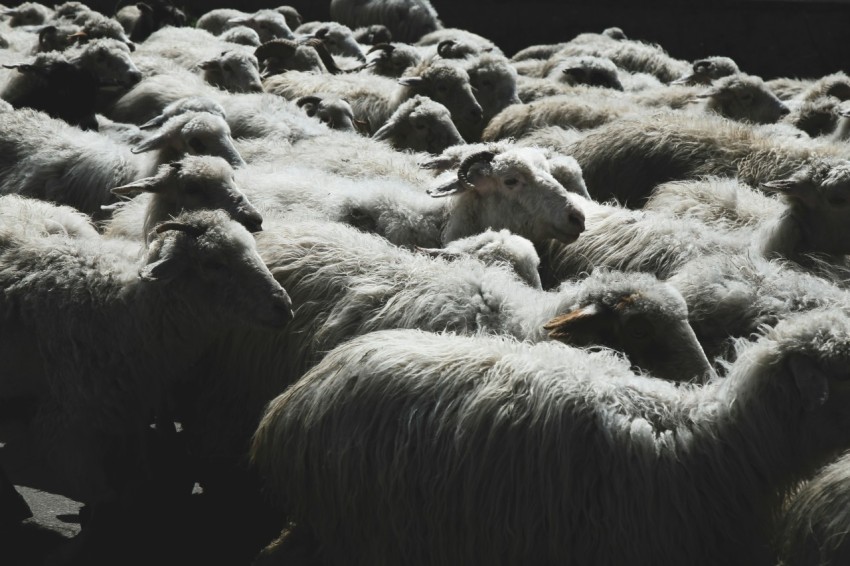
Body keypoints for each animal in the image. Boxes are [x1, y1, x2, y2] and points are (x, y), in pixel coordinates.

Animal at [0, 209, 293, 557]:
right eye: (213, 263)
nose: (283, 307)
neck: (125, 308)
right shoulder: (65, 424)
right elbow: (102, 495)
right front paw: (77, 545)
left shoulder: (128, 415)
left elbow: (129, 486)